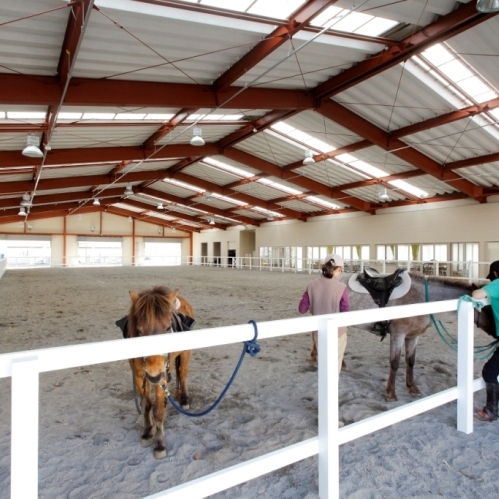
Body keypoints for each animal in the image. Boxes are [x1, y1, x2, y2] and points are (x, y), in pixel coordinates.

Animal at [127, 286, 193, 460]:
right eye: (139, 331)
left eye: (167, 328)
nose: (154, 374)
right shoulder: (139, 376)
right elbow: (147, 405)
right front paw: (147, 433)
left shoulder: (160, 377)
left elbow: (157, 411)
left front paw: (159, 444)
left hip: (185, 353)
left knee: (183, 373)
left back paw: (184, 399)